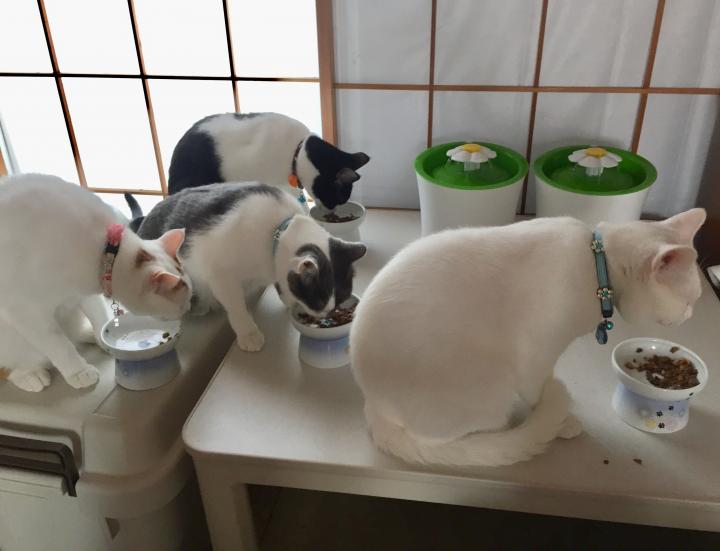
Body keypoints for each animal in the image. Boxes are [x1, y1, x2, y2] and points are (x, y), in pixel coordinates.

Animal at [0, 174, 193, 392]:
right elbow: (58, 344)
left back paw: (89, 335)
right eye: (182, 302)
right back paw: (30, 375)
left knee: (73, 334)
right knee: (20, 363)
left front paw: (102, 337)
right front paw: (78, 371)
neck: (106, 248)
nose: (188, 308)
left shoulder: (82, 292)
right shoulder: (24, 309)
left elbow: (97, 314)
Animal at [130, 182, 367, 352]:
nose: (325, 316)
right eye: (317, 301)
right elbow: (236, 306)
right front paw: (249, 333)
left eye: (340, 300)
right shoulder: (221, 273)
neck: (277, 229)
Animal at [350, 208, 706, 467]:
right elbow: (537, 391)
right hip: (491, 384)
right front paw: (560, 422)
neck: (597, 263)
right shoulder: (535, 355)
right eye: (689, 302)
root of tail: (373, 408)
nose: (690, 316)